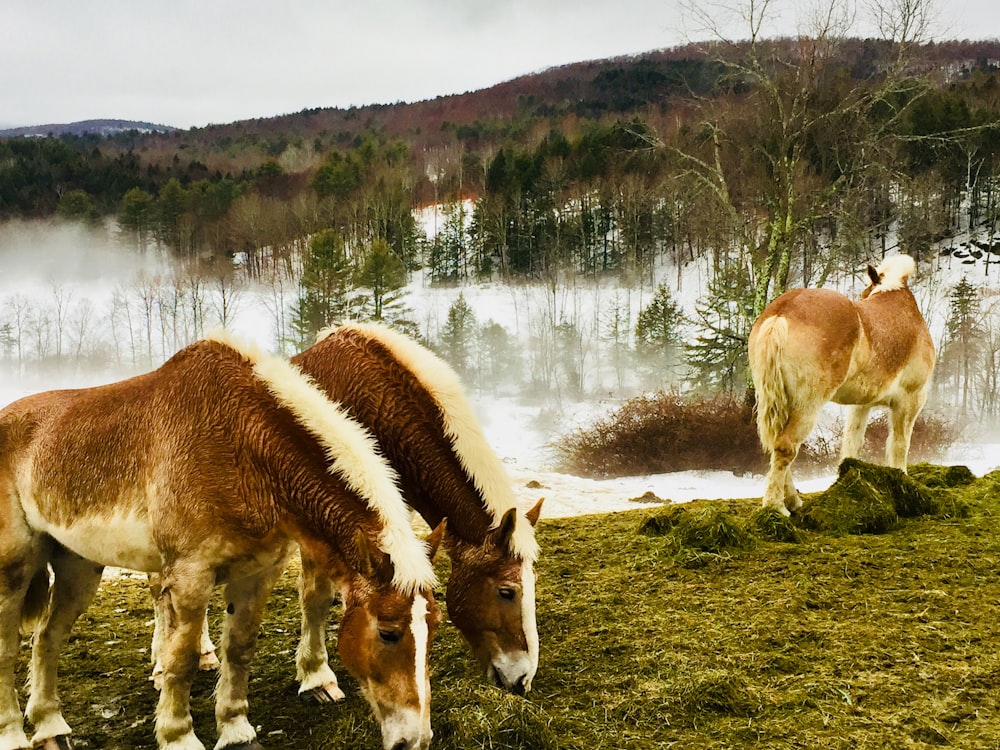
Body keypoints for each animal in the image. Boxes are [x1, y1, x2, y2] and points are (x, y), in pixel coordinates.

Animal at [0, 336, 442, 750]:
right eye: (388, 632)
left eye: (434, 627)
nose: (415, 740)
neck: (240, 444)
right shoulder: (190, 576)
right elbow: (182, 660)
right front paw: (178, 736)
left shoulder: (259, 571)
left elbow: (240, 649)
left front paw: (237, 732)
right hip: (15, 568)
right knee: (9, 648)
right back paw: (15, 736)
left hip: (78, 566)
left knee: (47, 638)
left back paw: (51, 729)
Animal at [752, 254, 936, 516]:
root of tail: (783, 312)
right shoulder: (910, 400)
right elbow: (899, 445)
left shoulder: (861, 405)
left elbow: (852, 444)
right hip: (806, 406)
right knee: (786, 446)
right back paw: (776, 507)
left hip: (780, 402)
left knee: (777, 444)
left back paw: (792, 501)